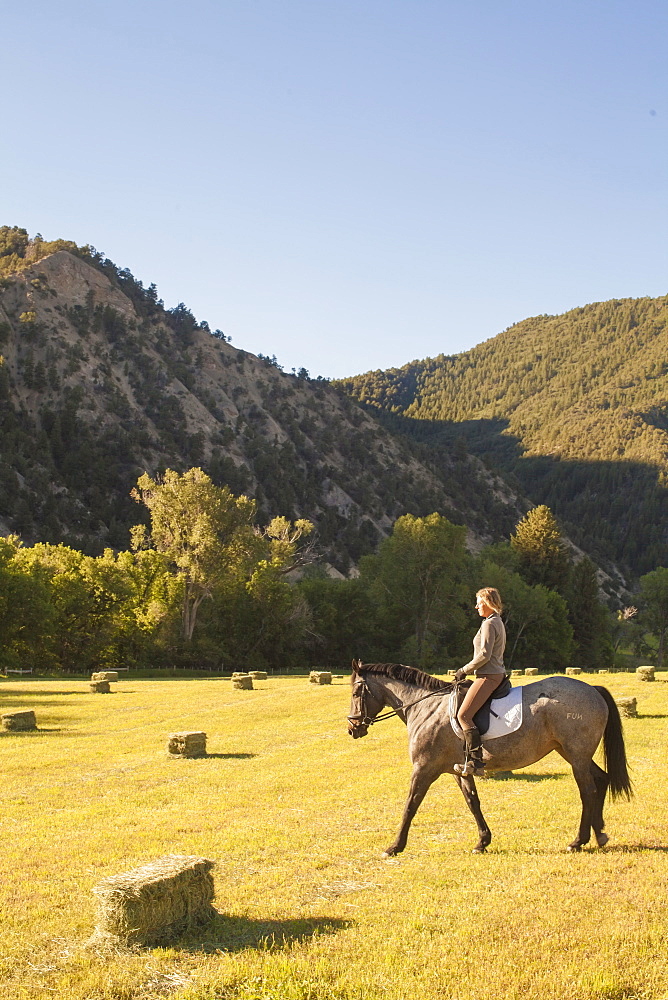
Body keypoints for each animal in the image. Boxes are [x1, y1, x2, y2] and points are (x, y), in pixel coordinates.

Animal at [348, 660, 636, 856]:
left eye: (354, 693)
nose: (352, 729)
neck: (424, 706)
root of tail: (593, 690)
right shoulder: (459, 770)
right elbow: (472, 802)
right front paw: (482, 842)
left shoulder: (424, 768)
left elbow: (410, 805)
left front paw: (394, 847)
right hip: (572, 753)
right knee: (601, 780)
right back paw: (600, 834)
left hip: (576, 755)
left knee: (588, 790)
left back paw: (578, 841)